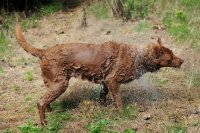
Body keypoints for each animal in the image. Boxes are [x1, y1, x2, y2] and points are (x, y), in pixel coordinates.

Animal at [14, 22, 184, 125]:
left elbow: (103, 96)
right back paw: (44, 123)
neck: (137, 55)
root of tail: (44, 51)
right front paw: (122, 113)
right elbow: (119, 101)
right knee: (40, 102)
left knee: (45, 99)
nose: (182, 60)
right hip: (60, 84)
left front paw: (104, 107)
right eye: (171, 58)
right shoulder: (113, 81)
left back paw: (50, 110)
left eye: (174, 54)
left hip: (53, 83)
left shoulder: (105, 81)